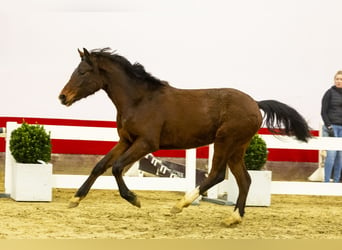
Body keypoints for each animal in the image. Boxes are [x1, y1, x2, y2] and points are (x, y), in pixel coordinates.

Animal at [58, 47, 310, 226]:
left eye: (82, 72)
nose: (63, 97)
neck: (139, 100)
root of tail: (255, 103)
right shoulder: (126, 141)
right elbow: (100, 166)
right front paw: (75, 199)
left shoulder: (146, 143)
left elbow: (117, 167)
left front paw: (134, 199)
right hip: (237, 148)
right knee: (244, 179)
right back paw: (233, 218)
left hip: (225, 141)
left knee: (217, 174)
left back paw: (180, 204)